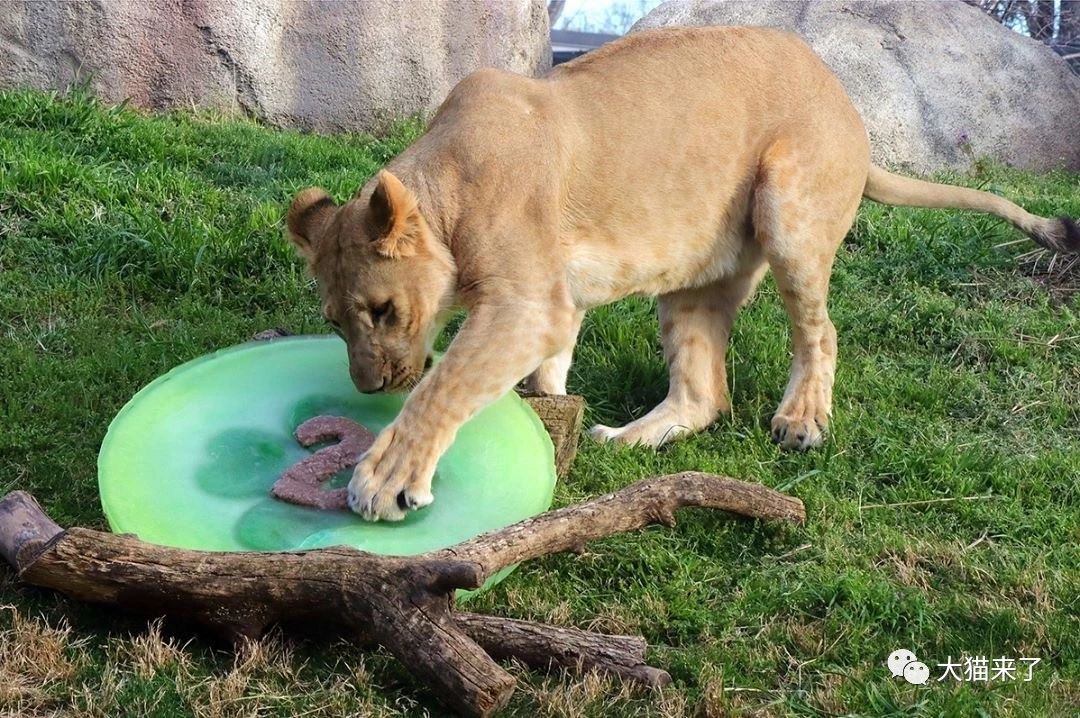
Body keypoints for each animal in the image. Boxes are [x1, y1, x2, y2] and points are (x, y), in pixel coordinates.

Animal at [282, 26, 1075, 520]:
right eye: (333, 322)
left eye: (383, 312)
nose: (369, 387)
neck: (443, 185)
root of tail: (850, 108)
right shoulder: (558, 301)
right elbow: (547, 362)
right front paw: (546, 399)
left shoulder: (527, 304)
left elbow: (444, 386)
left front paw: (385, 480)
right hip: (689, 280)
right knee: (704, 395)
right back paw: (629, 436)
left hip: (789, 206)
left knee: (820, 334)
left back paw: (801, 420)